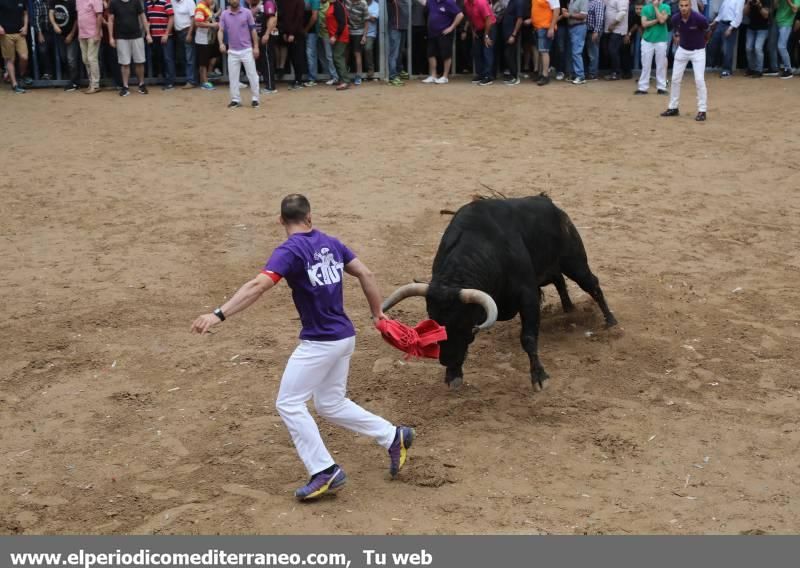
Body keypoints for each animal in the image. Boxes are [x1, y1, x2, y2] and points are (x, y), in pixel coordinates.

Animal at [382, 196, 620, 390]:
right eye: (434, 322)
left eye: (463, 322)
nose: (447, 360)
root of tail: (549, 203)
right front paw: (453, 375)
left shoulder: (528, 296)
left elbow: (529, 338)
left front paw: (540, 377)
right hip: (549, 269)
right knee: (559, 280)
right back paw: (569, 309)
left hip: (574, 261)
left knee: (592, 285)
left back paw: (611, 321)